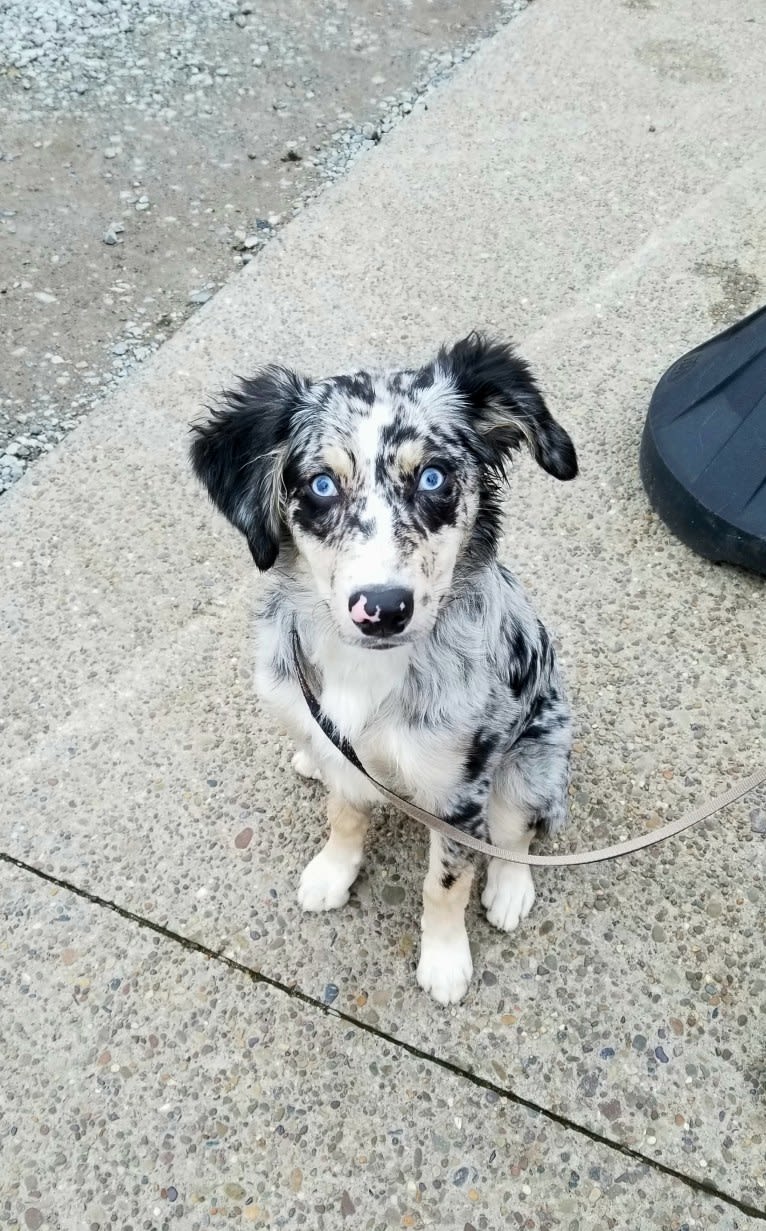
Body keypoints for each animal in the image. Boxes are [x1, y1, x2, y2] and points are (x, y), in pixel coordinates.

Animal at [190, 334, 576, 999]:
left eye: (433, 477)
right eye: (321, 485)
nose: (383, 609)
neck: (366, 671)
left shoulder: (457, 792)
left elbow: (445, 880)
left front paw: (444, 959)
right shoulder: (335, 744)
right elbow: (344, 814)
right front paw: (333, 871)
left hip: (534, 760)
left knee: (516, 832)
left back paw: (510, 890)